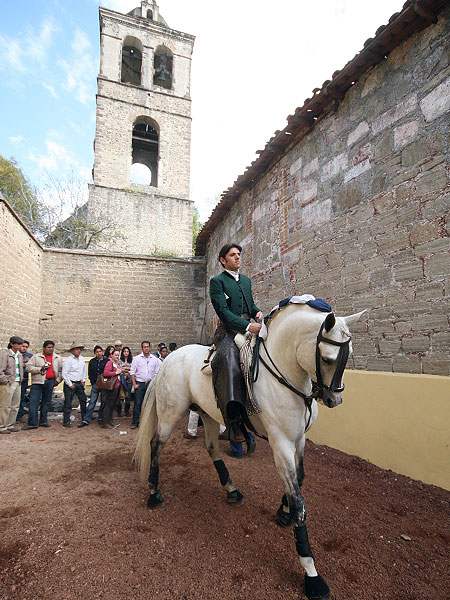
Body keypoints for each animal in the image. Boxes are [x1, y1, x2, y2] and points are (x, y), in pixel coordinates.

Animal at [134, 304, 366, 600]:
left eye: (351, 354)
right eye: (327, 359)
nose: (334, 399)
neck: (286, 374)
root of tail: (167, 359)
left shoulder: (298, 439)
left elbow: (299, 478)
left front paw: (283, 512)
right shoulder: (281, 442)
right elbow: (299, 501)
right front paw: (311, 572)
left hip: (209, 414)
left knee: (212, 448)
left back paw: (231, 489)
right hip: (169, 412)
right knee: (156, 445)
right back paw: (154, 493)